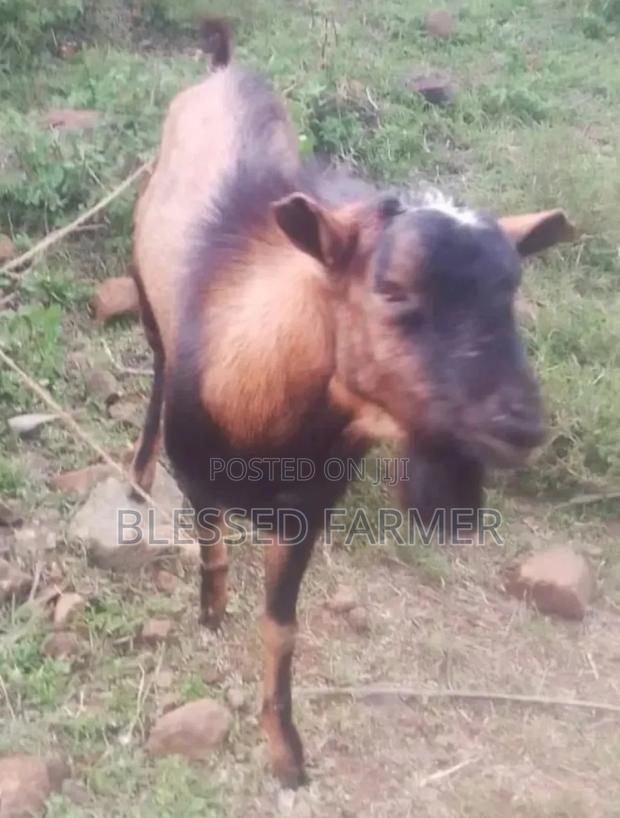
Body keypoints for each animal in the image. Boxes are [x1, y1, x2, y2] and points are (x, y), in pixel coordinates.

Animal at [130, 21, 574, 787]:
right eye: (392, 288)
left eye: (512, 291)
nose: (518, 424)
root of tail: (221, 70)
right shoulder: (200, 472)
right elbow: (210, 539)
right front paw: (211, 609)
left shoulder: (310, 510)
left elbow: (282, 629)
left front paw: (285, 751)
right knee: (154, 361)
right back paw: (138, 465)